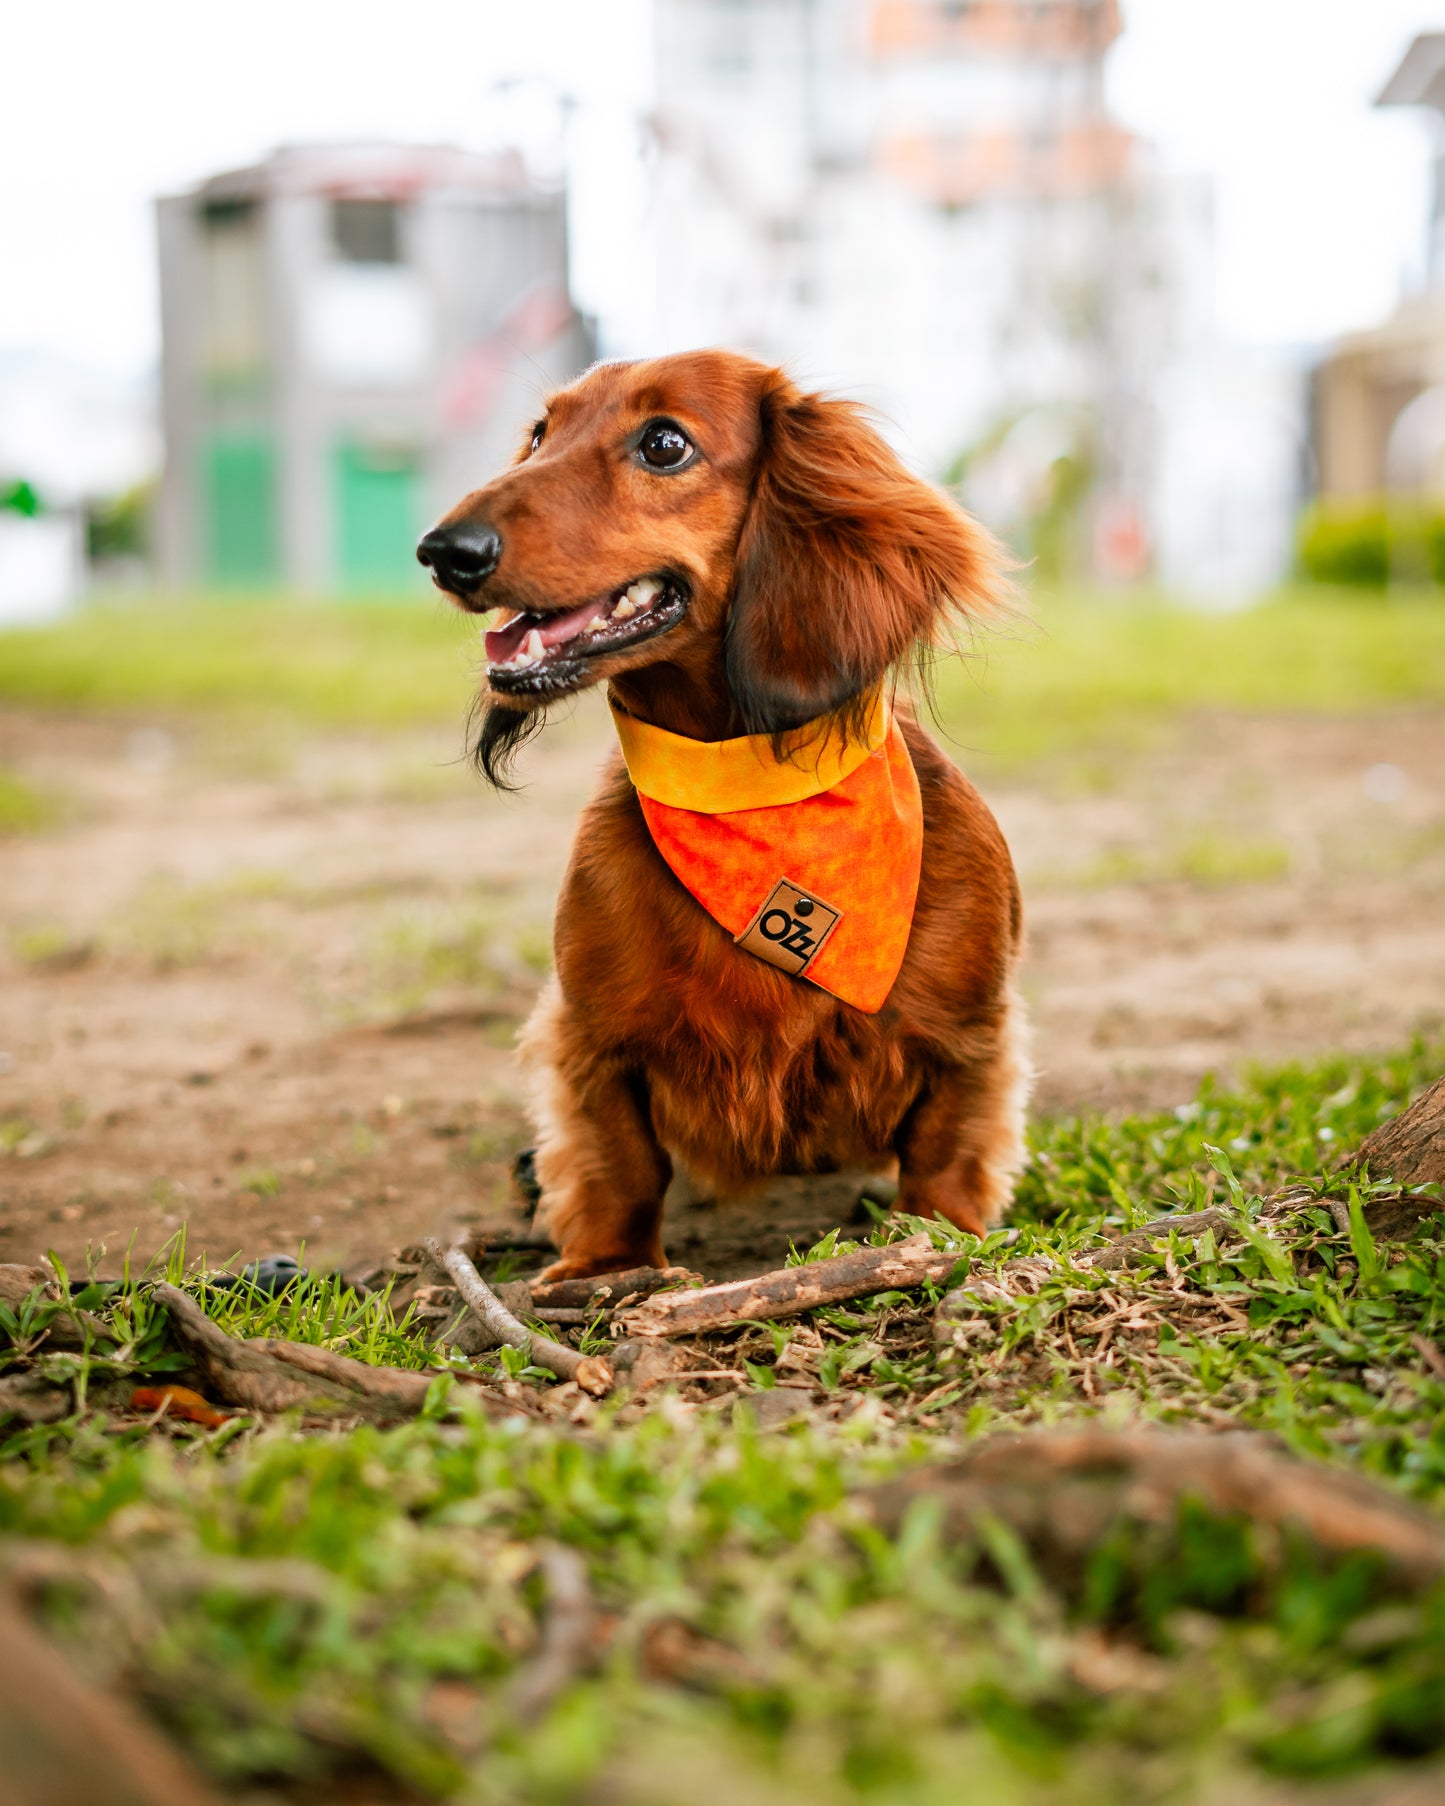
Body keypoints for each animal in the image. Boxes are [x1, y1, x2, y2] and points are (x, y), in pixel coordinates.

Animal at [417, 348, 1025, 1285]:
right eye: (541, 433)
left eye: (664, 443)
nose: (444, 552)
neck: (748, 794)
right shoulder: (591, 1039)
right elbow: (620, 1161)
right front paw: (606, 1269)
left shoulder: (967, 1038)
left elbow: (944, 1150)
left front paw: (935, 1238)